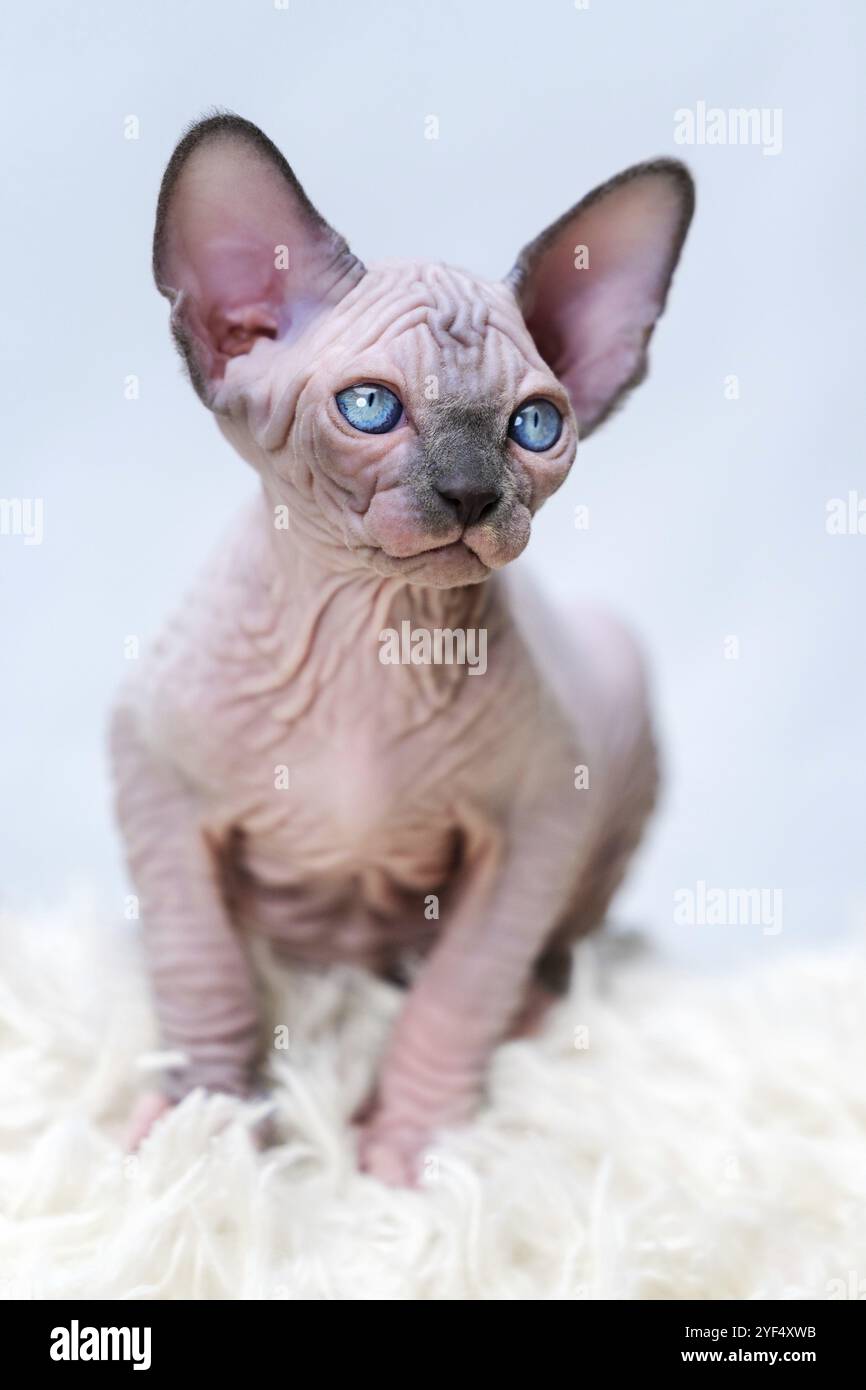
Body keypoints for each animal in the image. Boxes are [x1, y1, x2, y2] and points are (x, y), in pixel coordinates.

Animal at [111, 113, 695, 1189]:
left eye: (535, 425)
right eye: (371, 408)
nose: (470, 493)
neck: (371, 630)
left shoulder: (537, 824)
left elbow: (455, 998)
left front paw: (412, 1158)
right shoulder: (152, 775)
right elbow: (201, 974)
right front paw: (203, 1133)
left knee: (555, 955)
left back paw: (536, 1012)